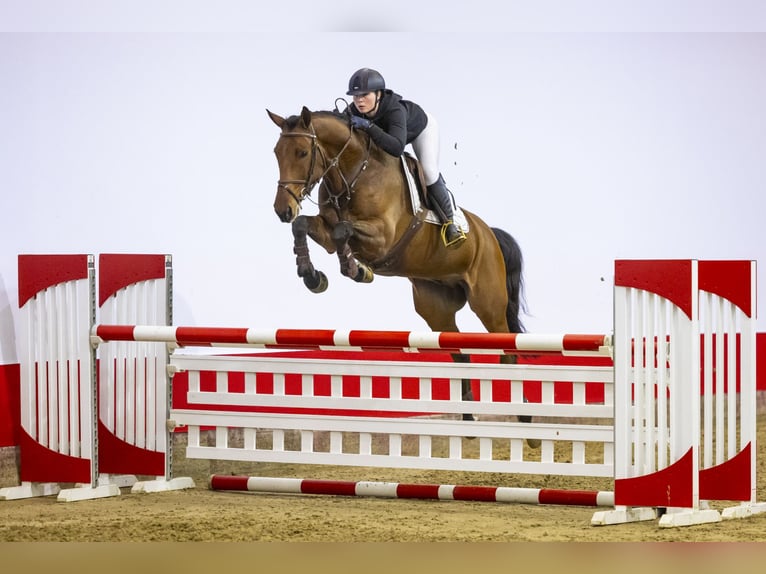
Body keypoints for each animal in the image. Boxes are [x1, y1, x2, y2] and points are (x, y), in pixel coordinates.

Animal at [268, 108, 536, 440]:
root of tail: (489, 234)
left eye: (303, 152)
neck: (352, 173)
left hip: (488, 303)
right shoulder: (327, 231)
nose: (282, 210)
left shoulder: (382, 237)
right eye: (276, 152)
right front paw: (312, 275)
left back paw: (525, 419)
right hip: (435, 308)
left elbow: (344, 230)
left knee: (507, 346)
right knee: (460, 353)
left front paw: (357, 269)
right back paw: (469, 418)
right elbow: (305, 225)